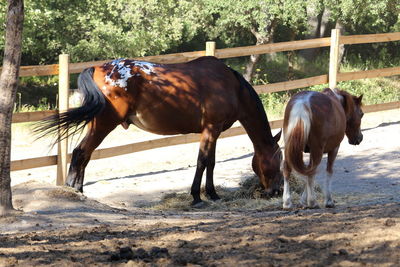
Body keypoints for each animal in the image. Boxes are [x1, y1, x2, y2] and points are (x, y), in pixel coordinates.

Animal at [36, 56, 282, 206]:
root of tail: (98, 68)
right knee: (81, 152)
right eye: (277, 161)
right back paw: (74, 191)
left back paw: (78, 190)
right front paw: (196, 196)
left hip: (97, 123)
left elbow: (210, 163)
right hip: (104, 124)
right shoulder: (211, 129)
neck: (231, 86)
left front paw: (212, 194)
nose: (276, 191)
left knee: (83, 154)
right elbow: (202, 161)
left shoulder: (214, 131)